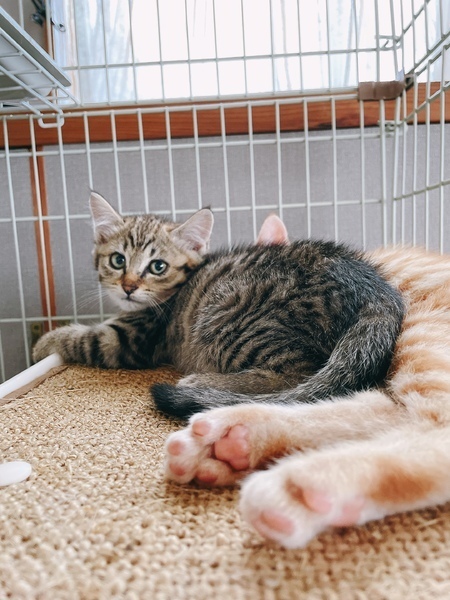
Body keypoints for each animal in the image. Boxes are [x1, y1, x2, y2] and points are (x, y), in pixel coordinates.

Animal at [33, 192, 403, 417]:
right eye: (117, 259)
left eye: (157, 266)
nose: (128, 286)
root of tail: (377, 292)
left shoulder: (133, 338)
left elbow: (84, 338)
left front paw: (45, 343)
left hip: (231, 317)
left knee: (296, 377)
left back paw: (201, 383)